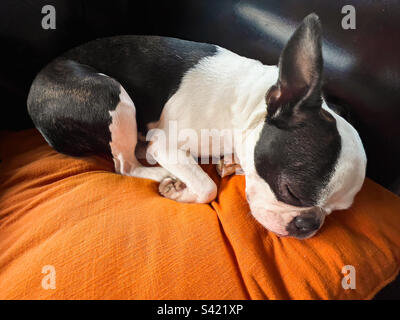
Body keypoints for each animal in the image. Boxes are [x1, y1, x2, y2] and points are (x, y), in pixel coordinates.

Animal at [27, 13, 366, 239]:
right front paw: (182, 192)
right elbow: (207, 187)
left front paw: (231, 164)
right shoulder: (168, 145)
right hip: (111, 95)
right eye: (292, 193)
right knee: (124, 165)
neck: (247, 105)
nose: (309, 225)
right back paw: (159, 172)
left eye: (337, 211)